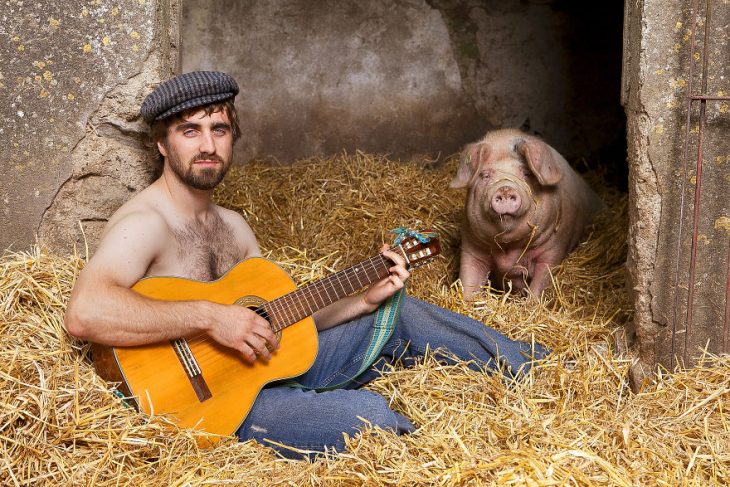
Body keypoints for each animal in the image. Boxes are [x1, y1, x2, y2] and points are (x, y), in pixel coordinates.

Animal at [450, 127, 604, 300]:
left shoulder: (553, 251)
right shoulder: (472, 248)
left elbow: (540, 283)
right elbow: (468, 279)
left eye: (526, 172)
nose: (505, 189)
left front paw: (531, 302)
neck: (508, 250)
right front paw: (467, 301)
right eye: (485, 175)